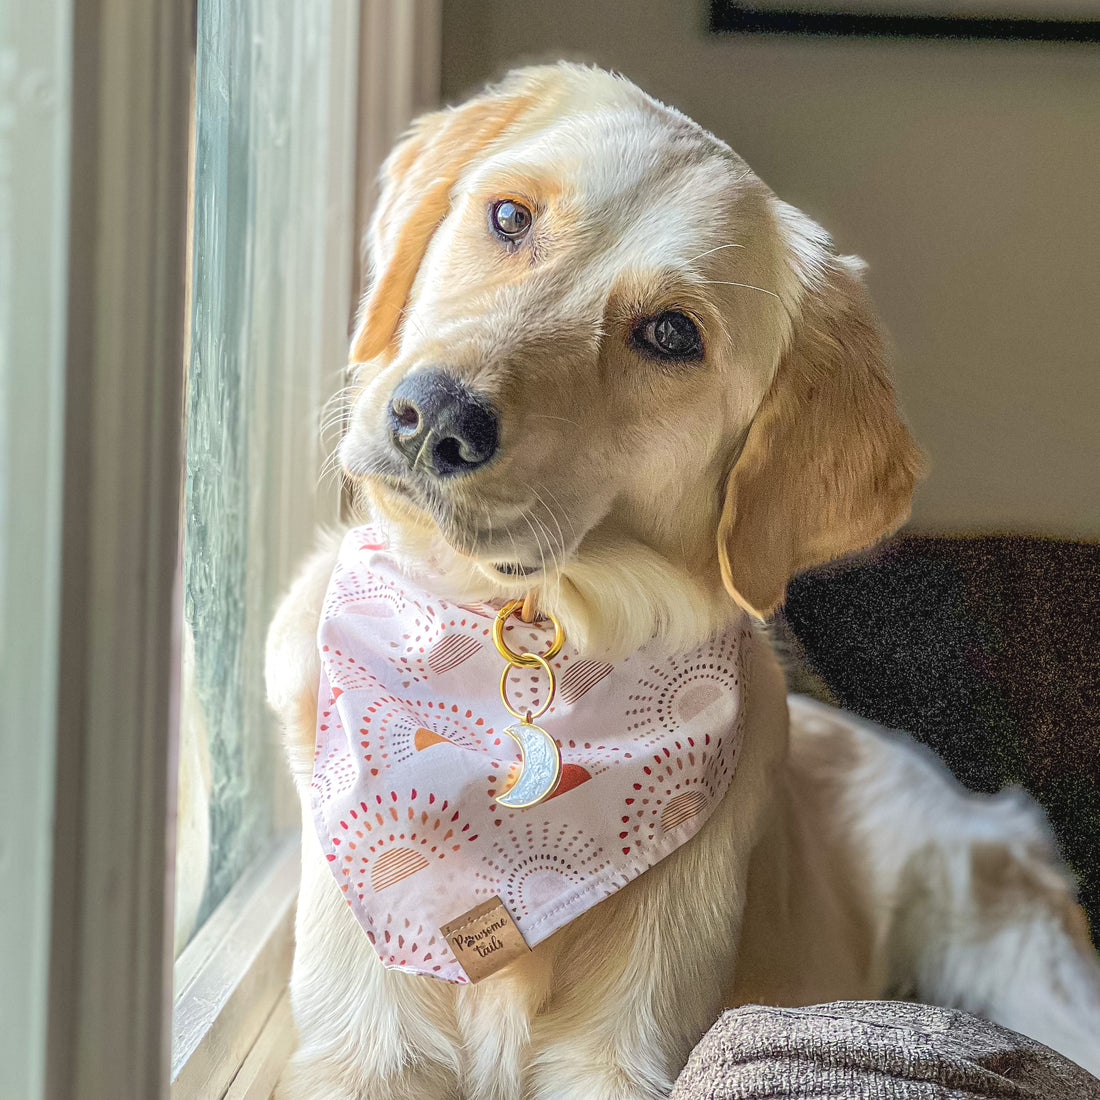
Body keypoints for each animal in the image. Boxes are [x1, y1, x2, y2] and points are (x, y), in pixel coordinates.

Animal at [266, 62, 1100, 1100]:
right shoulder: (363, 1049)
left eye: (669, 334)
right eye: (509, 217)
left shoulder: (624, 1063)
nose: (434, 419)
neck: (519, 635)